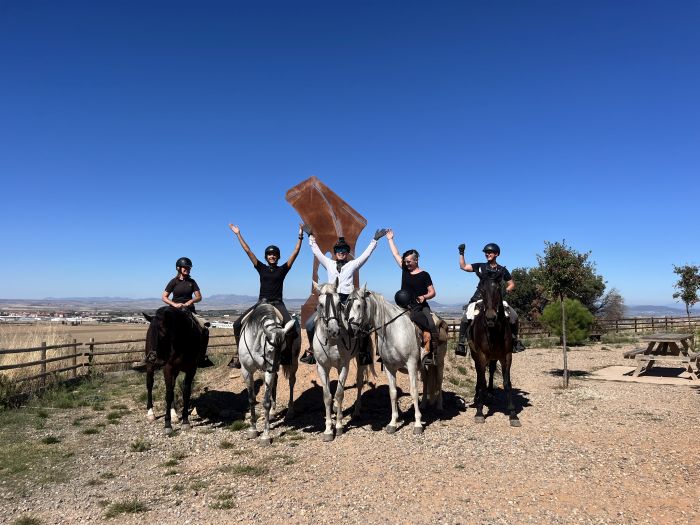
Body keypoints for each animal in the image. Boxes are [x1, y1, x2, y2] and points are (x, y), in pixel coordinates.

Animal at [238, 300, 300, 444]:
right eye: (270, 349)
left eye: (283, 348)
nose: (275, 367)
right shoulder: (246, 370)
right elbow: (251, 399)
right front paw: (253, 429)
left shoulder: (268, 370)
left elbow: (266, 401)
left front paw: (265, 435)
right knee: (275, 382)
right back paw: (272, 412)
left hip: (293, 363)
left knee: (291, 382)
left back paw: (290, 411)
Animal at [308, 280, 370, 440]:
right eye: (320, 304)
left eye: (338, 303)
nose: (334, 330)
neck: (331, 341)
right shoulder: (322, 367)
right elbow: (327, 396)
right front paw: (328, 430)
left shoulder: (344, 366)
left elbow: (339, 393)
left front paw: (339, 426)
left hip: (360, 360)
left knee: (359, 383)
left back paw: (357, 411)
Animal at [358, 288, 452, 432]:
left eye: (359, 305)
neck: (393, 332)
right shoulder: (389, 367)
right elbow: (393, 393)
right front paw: (392, 423)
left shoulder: (411, 365)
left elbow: (413, 392)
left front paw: (418, 424)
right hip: (424, 366)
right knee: (426, 380)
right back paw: (424, 404)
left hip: (439, 363)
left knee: (439, 381)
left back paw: (439, 406)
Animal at [470, 278, 520, 426]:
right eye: (481, 289)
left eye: (498, 289)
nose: (491, 318)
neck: (493, 331)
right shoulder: (481, 356)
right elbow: (481, 381)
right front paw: (479, 412)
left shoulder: (507, 356)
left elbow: (507, 383)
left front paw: (513, 414)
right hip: (476, 355)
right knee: (479, 374)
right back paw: (478, 396)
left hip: (494, 357)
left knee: (491, 370)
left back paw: (490, 393)